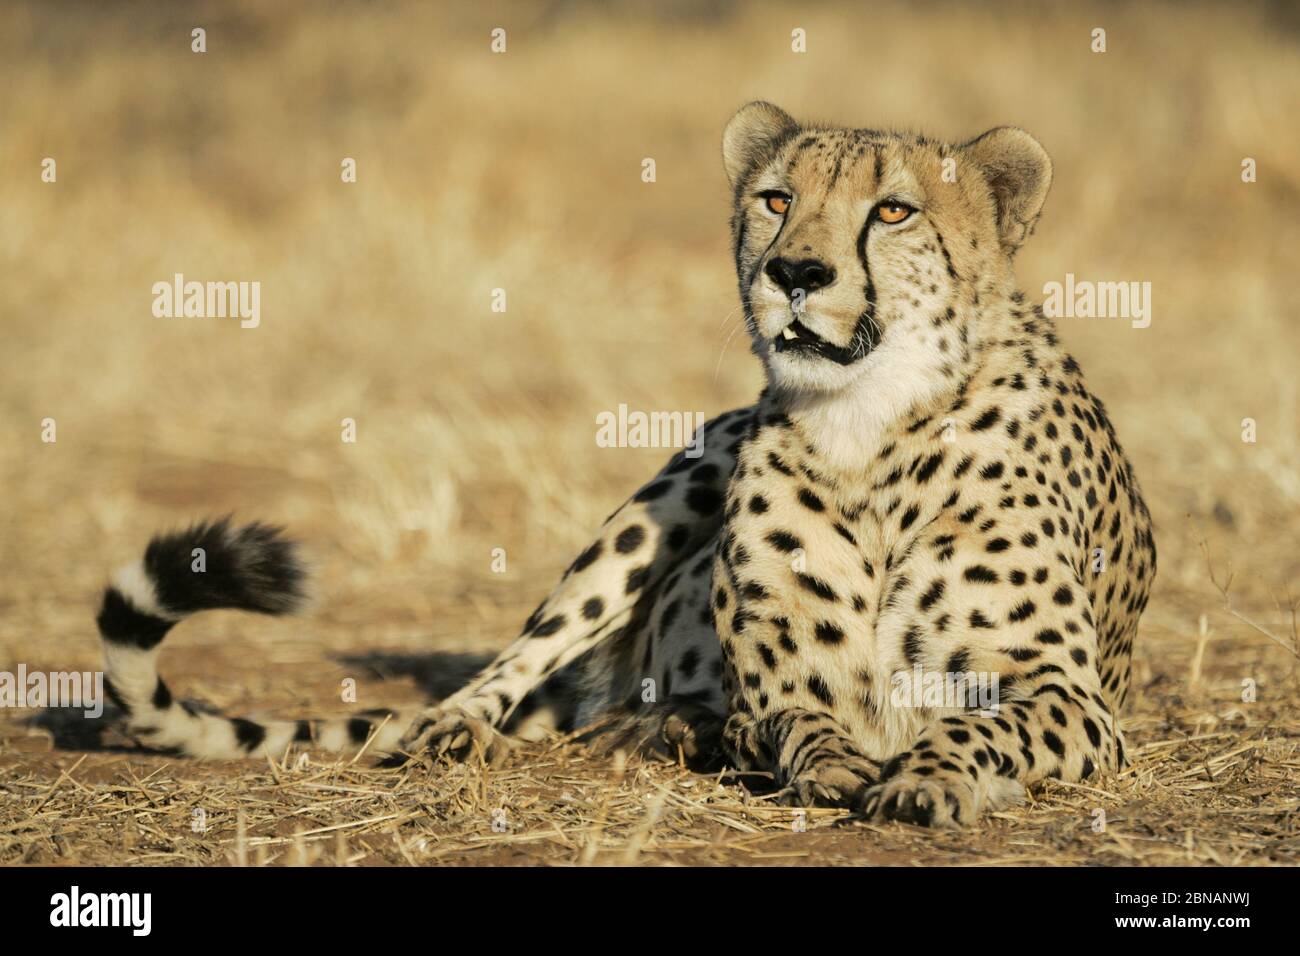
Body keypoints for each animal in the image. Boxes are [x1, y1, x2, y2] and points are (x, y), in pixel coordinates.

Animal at [96, 100, 1154, 827]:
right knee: (522, 660)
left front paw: (924, 778)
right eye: (776, 200)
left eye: (892, 212)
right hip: (671, 490)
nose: (794, 272)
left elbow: (974, 723)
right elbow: (797, 718)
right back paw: (472, 727)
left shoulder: (1070, 696)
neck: (869, 428)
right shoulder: (782, 685)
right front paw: (829, 763)